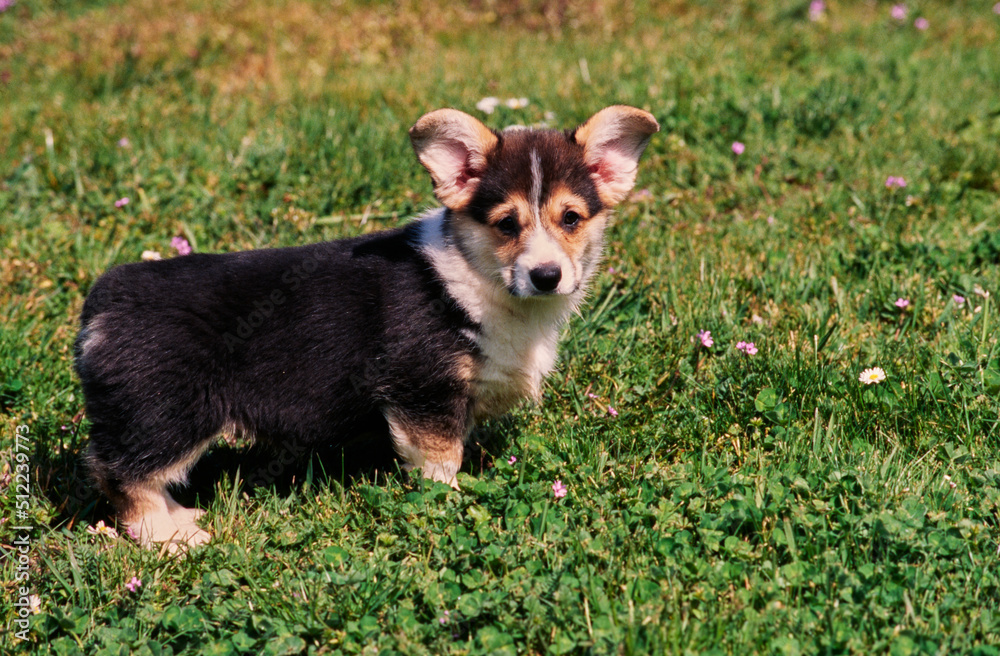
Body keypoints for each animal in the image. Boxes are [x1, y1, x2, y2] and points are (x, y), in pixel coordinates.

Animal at [76, 105, 656, 544]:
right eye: (506, 224)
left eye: (571, 219)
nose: (546, 275)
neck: (478, 281)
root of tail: (103, 302)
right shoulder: (423, 393)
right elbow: (441, 463)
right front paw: (447, 507)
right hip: (169, 413)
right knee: (123, 475)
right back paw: (170, 538)